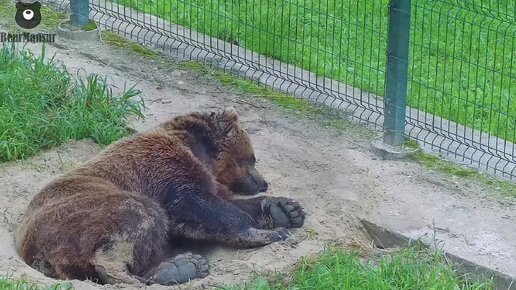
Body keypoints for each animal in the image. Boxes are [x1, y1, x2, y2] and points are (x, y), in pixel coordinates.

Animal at [15, 108, 306, 286]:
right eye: (252, 158)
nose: (263, 182)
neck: (201, 152)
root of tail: (33, 252)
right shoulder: (164, 168)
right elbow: (198, 205)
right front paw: (269, 232)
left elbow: (223, 203)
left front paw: (286, 209)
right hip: (83, 209)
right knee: (138, 218)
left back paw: (182, 267)